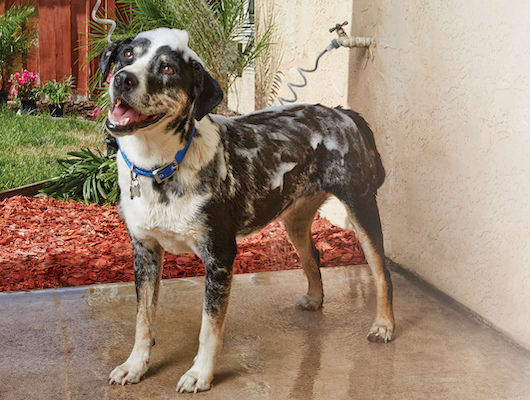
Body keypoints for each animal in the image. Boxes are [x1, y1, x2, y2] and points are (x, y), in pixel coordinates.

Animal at [101, 28, 394, 394]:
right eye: (127, 55)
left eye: (168, 68)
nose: (123, 79)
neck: (160, 166)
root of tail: (344, 113)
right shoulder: (145, 251)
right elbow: (143, 319)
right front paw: (135, 366)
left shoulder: (220, 256)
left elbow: (209, 328)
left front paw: (201, 374)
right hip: (295, 218)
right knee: (312, 255)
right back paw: (315, 298)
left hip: (361, 206)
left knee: (382, 272)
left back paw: (384, 325)